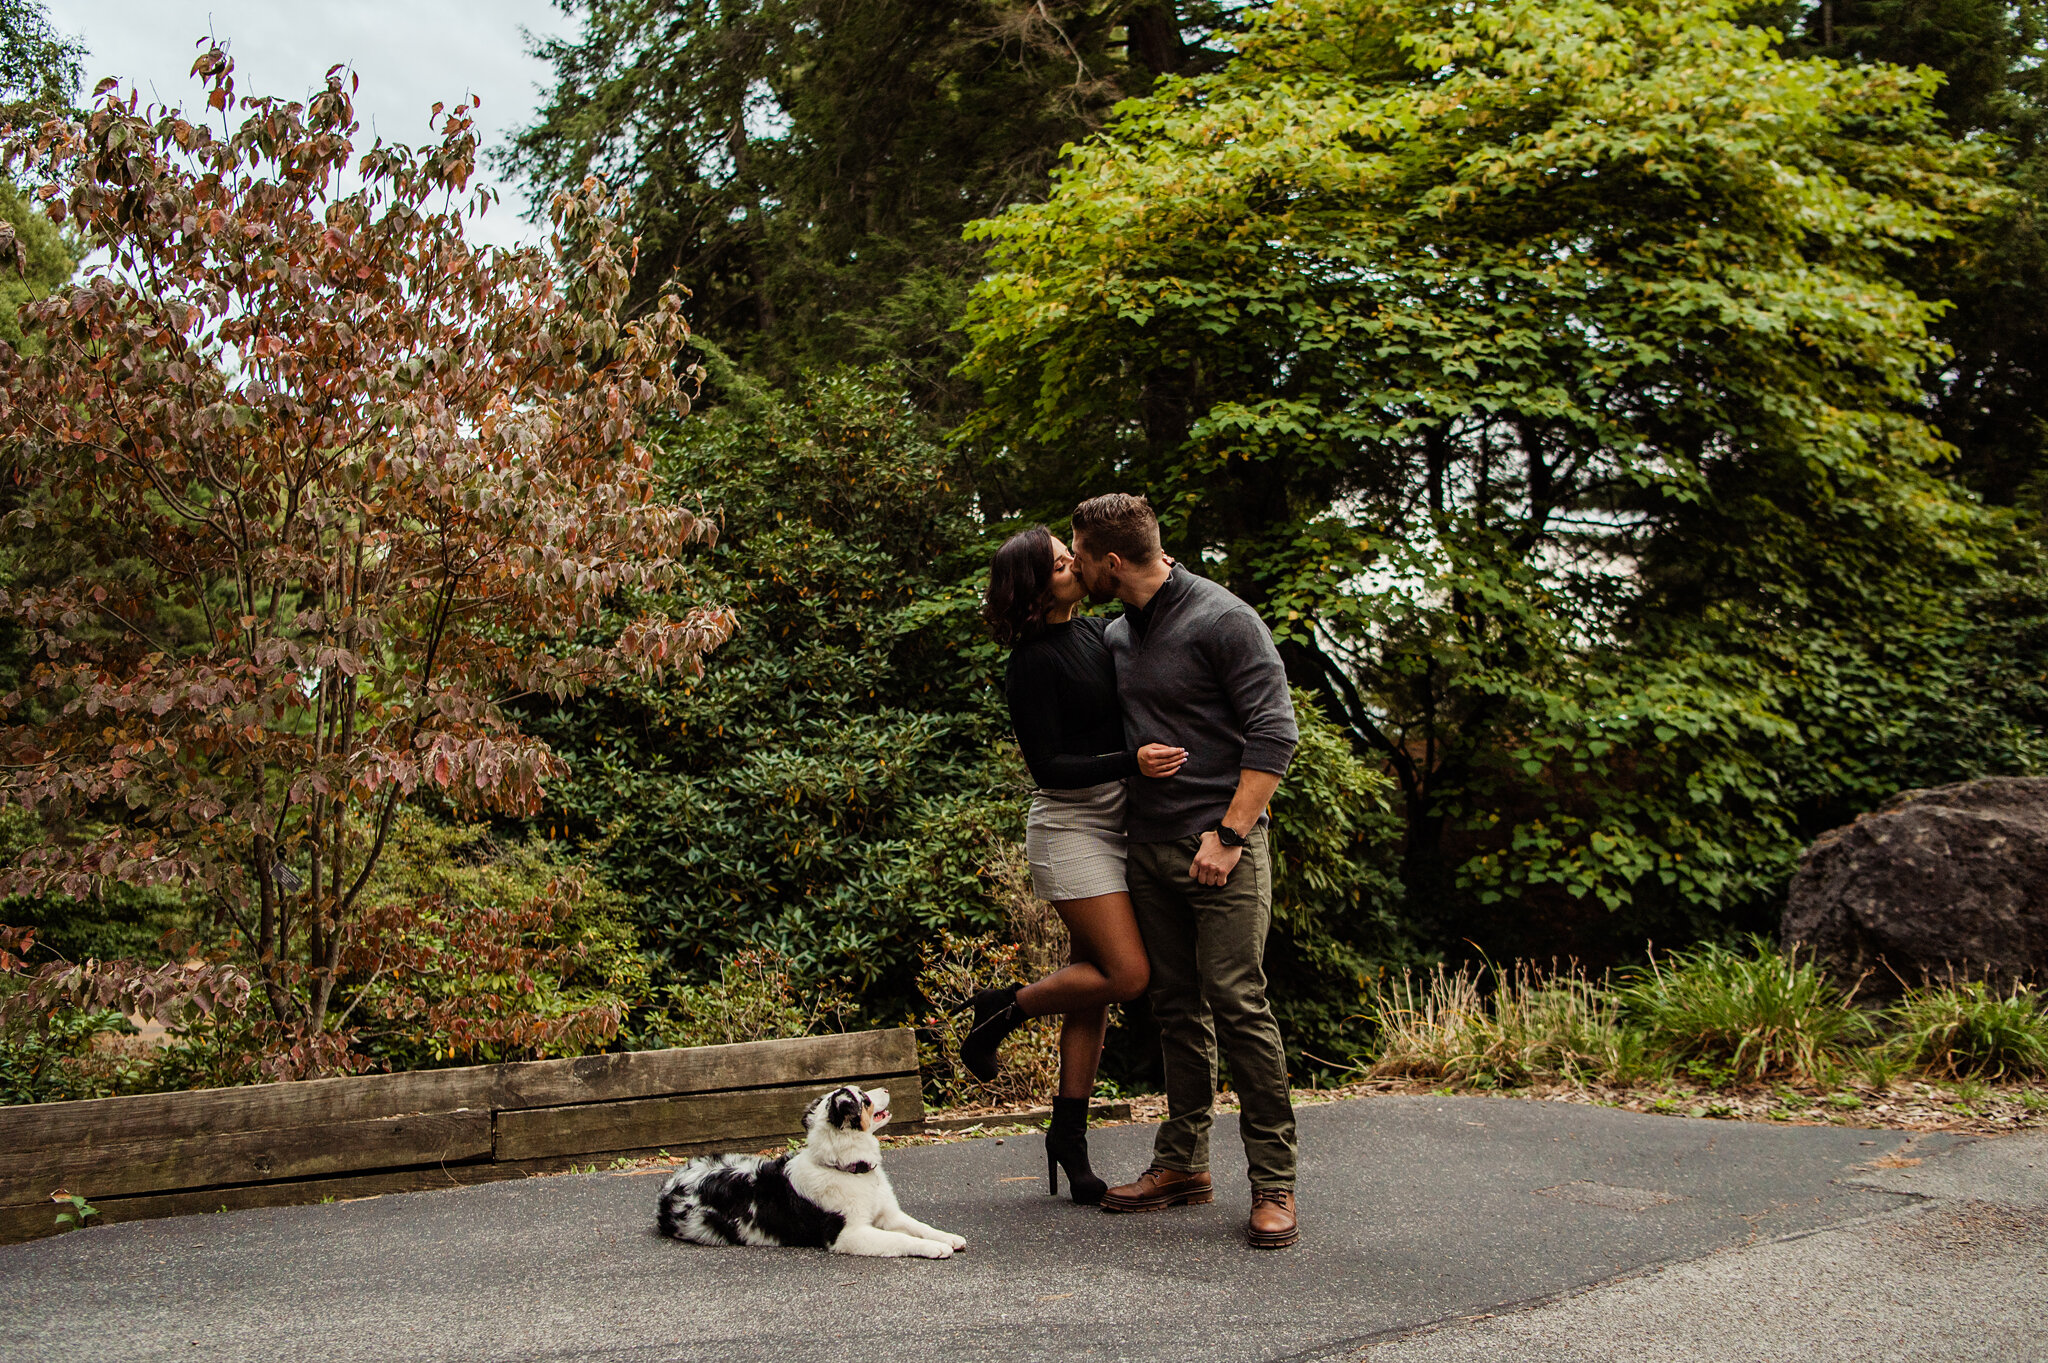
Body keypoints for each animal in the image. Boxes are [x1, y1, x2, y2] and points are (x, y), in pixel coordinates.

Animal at [659, 1080, 970, 1260]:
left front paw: (948, 1237)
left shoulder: (888, 1214)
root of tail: (672, 1182)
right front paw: (934, 1248)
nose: (886, 1089)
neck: (847, 1168)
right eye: (864, 1099)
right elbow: (900, 1239)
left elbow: (918, 1226)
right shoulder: (848, 1235)